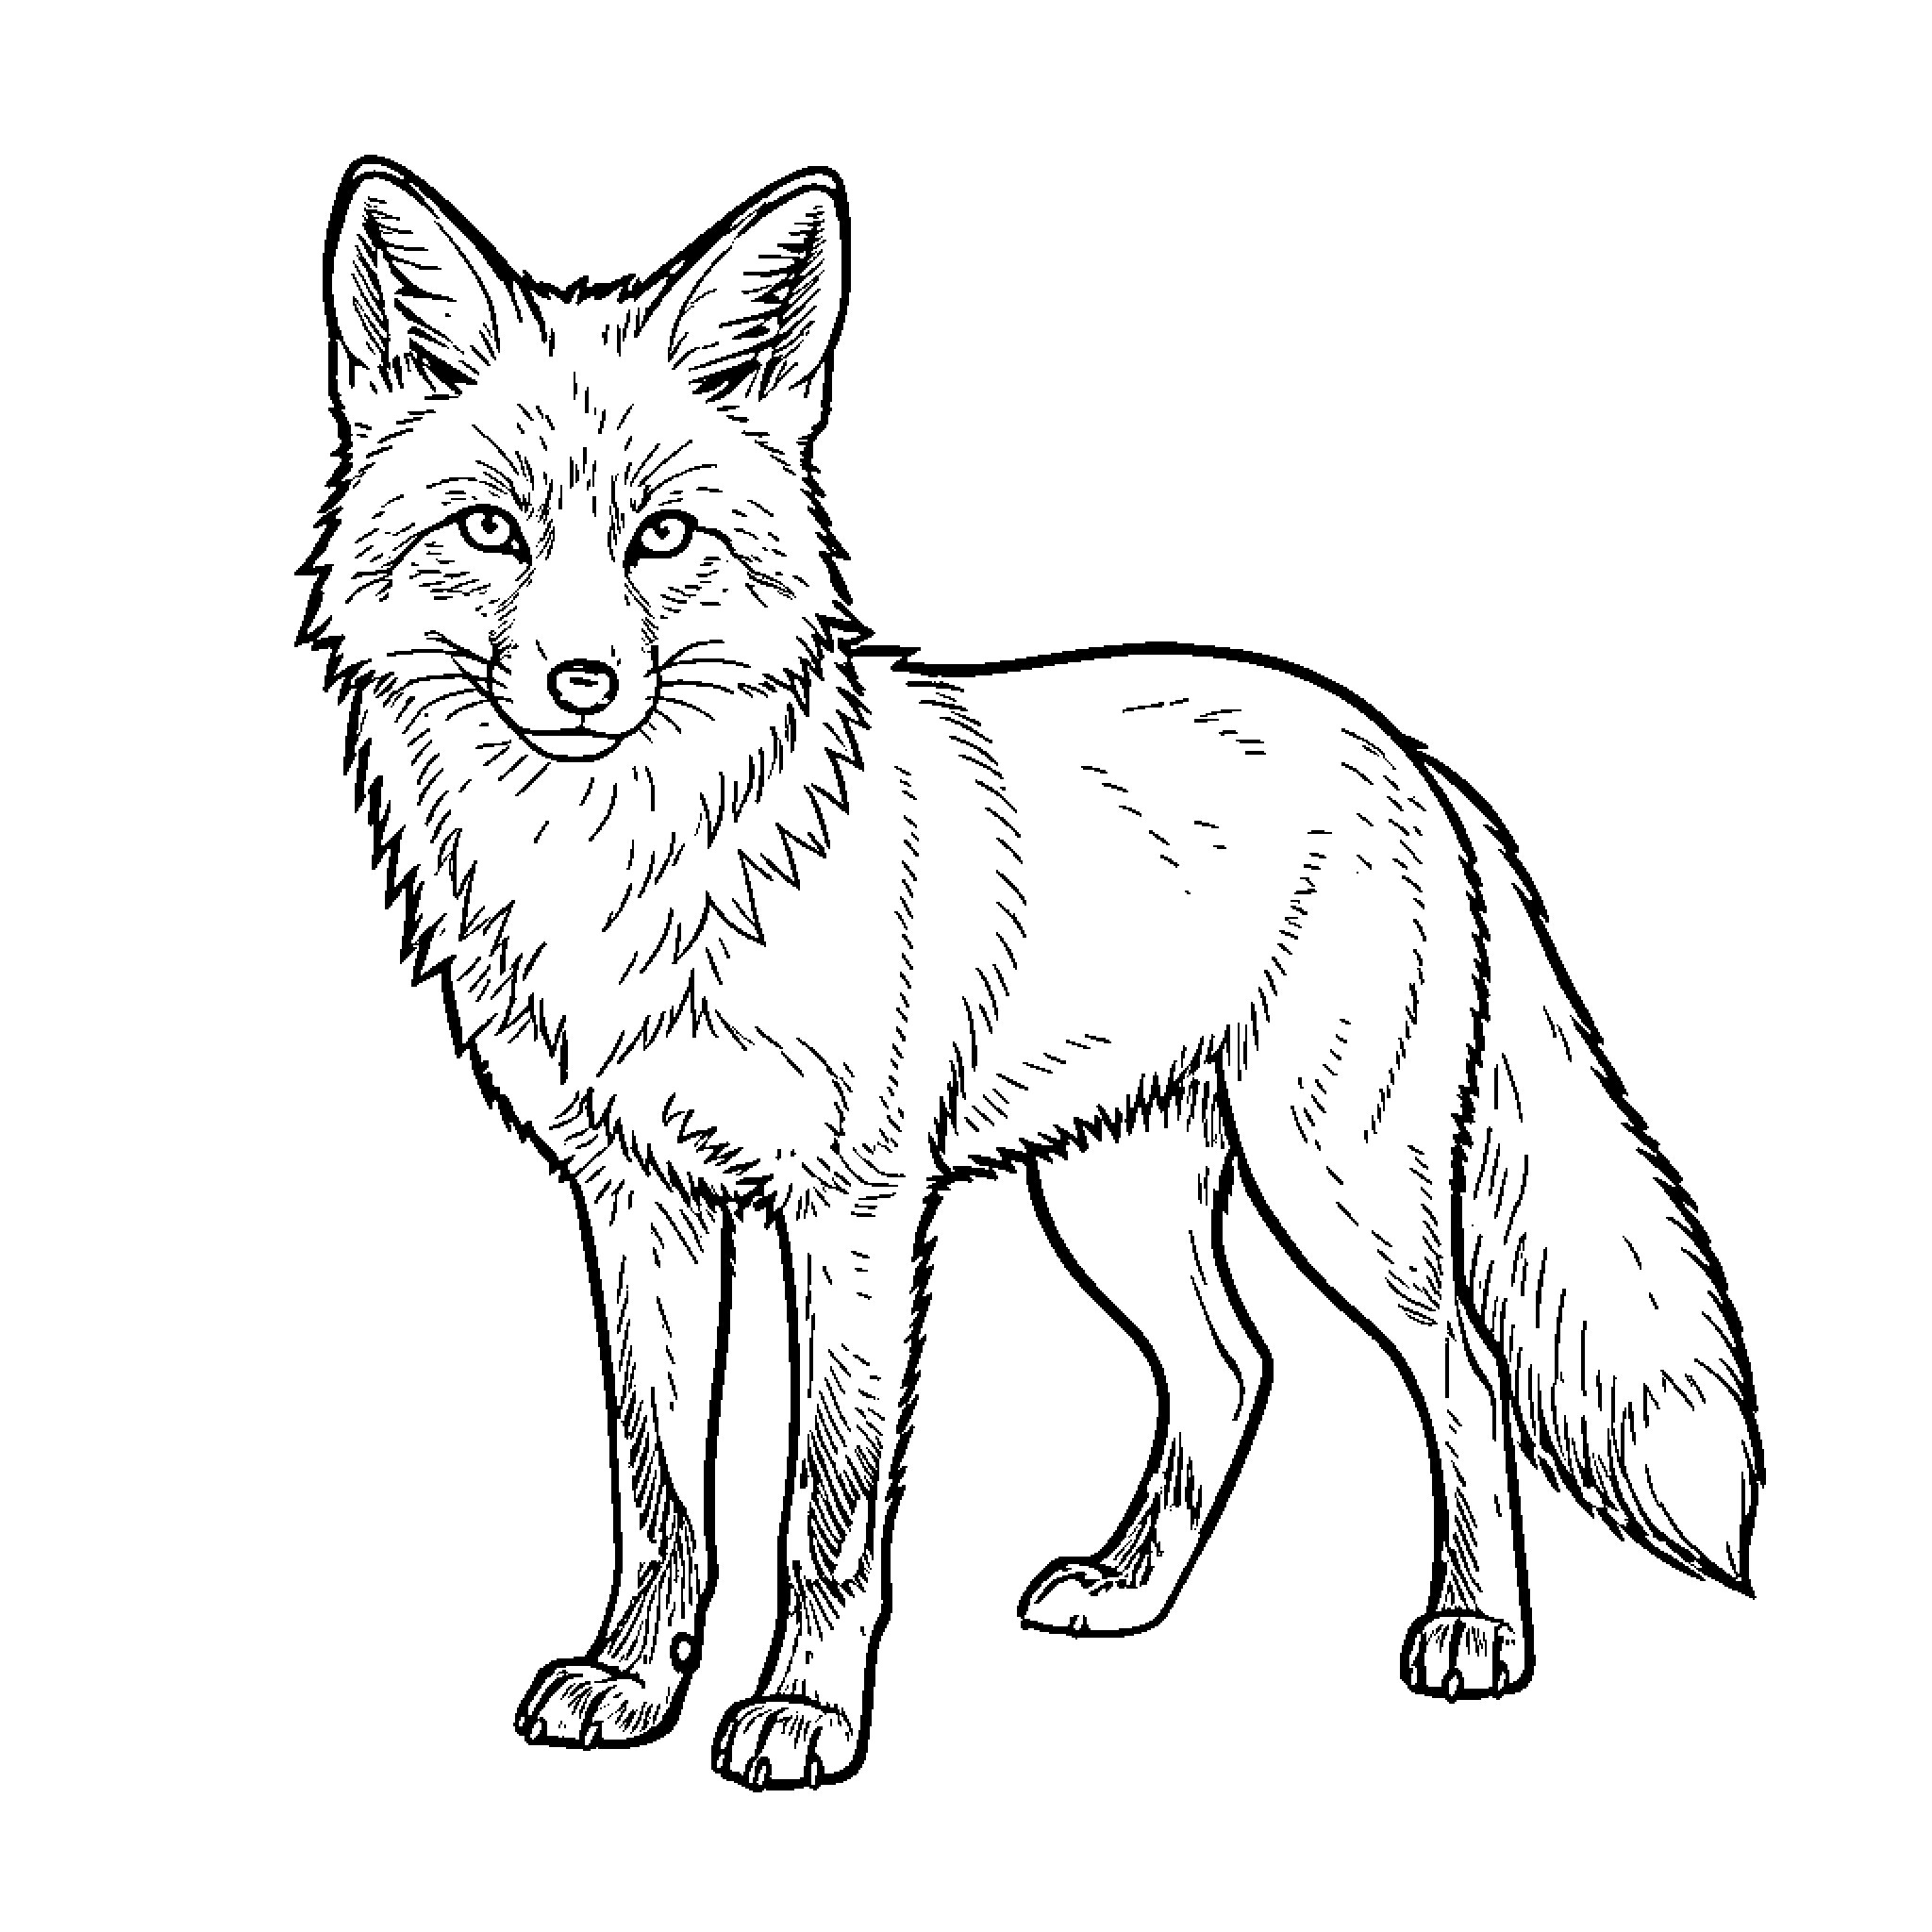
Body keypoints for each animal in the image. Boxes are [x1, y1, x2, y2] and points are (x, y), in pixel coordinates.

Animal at [299, 157, 1762, 1792]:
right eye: (491, 530)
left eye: (662, 538)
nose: (581, 684)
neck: (634, 871)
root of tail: (1409, 753)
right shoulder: (636, 1202)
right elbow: (660, 1490)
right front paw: (632, 1678)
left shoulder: (853, 1209)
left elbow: (826, 1507)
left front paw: (807, 1714)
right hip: (1115, 1198)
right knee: (1233, 1369)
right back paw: (1129, 1589)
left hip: (1341, 1187)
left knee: (1462, 1379)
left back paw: (1474, 1631)